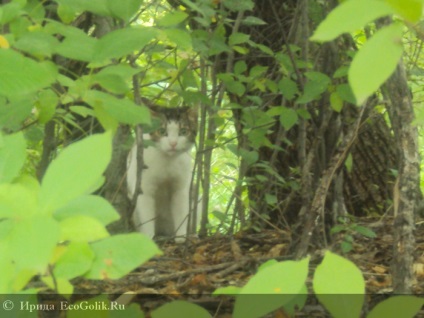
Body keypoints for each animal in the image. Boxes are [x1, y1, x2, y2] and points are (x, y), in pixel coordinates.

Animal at [126, 106, 198, 241]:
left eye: (183, 131)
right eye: (161, 131)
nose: (173, 143)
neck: (167, 161)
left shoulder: (181, 189)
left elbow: (181, 212)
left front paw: (181, 237)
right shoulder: (143, 189)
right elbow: (147, 217)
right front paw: (149, 239)